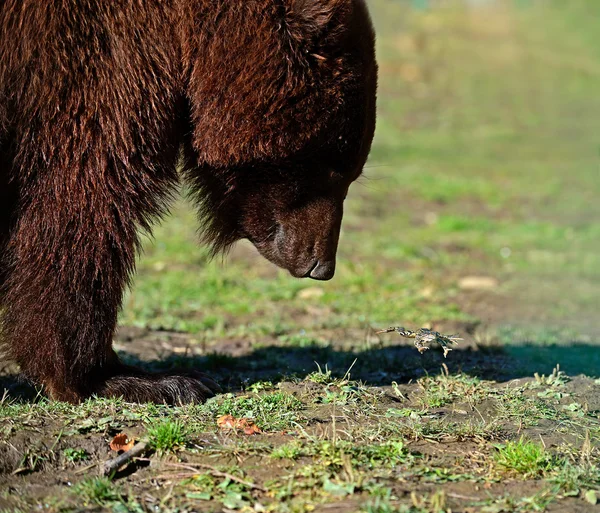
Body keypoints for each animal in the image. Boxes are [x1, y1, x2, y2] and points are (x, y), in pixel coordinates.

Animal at [0, 0, 376, 404]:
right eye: (333, 169)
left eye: (351, 171)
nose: (322, 266)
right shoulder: (93, 65)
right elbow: (83, 204)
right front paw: (127, 377)